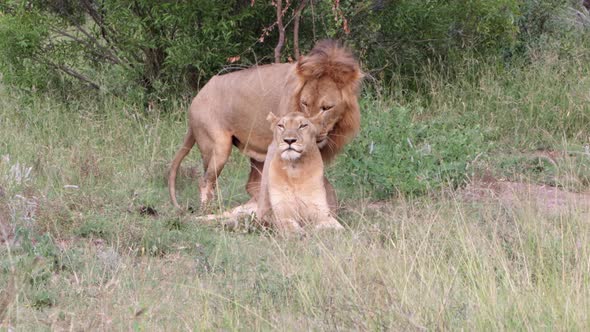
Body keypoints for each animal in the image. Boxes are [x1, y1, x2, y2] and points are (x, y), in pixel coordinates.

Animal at [169, 39, 364, 210]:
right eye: (305, 103)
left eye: (326, 108)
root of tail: (195, 99)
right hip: (219, 147)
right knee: (205, 181)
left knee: (251, 184)